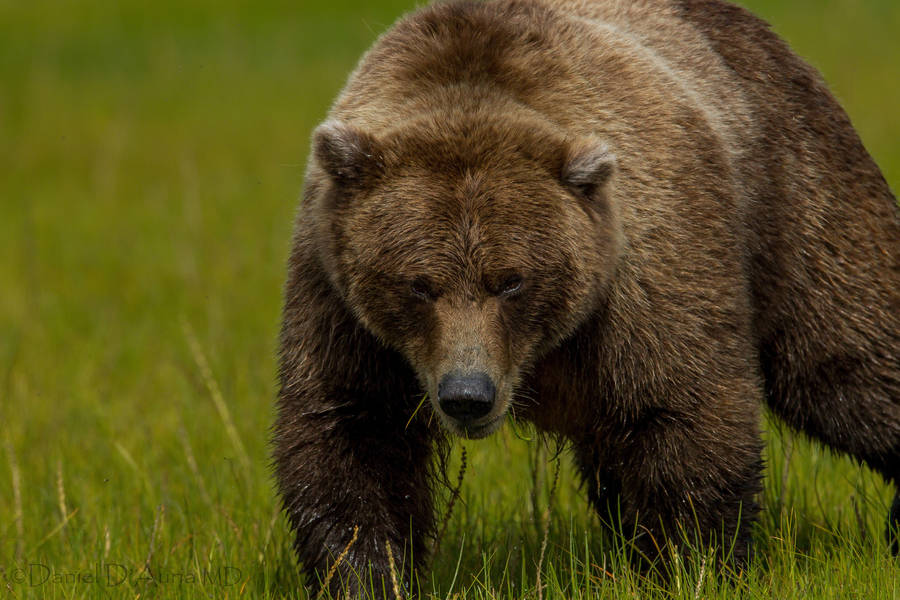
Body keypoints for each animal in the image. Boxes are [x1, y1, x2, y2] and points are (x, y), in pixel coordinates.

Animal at [273, 0, 900, 595]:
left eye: (511, 280)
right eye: (419, 284)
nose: (467, 395)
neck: (541, 354)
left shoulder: (645, 274)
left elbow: (686, 415)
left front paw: (695, 564)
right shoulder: (337, 299)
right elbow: (349, 437)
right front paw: (369, 575)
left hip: (791, 186)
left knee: (845, 356)